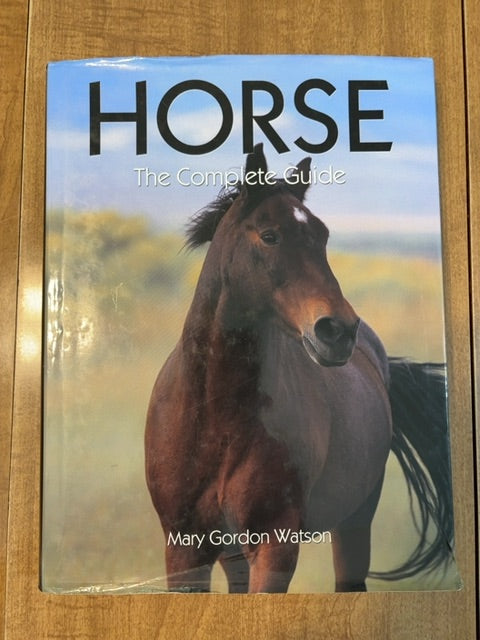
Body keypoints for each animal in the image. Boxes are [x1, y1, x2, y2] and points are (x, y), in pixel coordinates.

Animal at [145, 143, 454, 593]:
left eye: (322, 236)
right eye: (269, 235)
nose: (338, 330)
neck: (216, 417)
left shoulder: (275, 545)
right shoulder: (185, 548)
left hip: (354, 523)